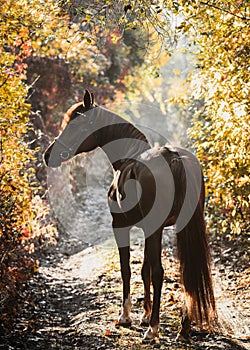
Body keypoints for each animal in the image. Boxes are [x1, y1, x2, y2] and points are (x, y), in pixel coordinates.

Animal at [44, 89, 216, 342]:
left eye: (76, 125)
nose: (48, 155)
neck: (127, 158)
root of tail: (173, 156)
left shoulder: (122, 227)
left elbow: (127, 269)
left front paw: (126, 316)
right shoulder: (147, 230)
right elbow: (144, 270)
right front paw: (144, 314)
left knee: (160, 273)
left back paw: (153, 330)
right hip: (180, 228)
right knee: (185, 273)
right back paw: (183, 329)